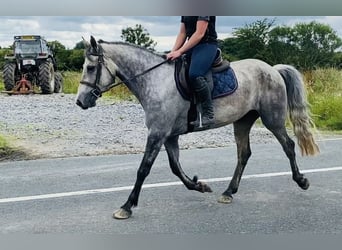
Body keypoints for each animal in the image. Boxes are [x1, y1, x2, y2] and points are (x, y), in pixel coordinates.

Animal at [76, 36, 320, 220]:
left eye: (90, 67)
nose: (80, 102)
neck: (155, 80)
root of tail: (273, 69)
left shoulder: (157, 133)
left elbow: (143, 169)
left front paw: (126, 206)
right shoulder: (169, 136)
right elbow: (175, 168)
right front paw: (199, 185)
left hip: (273, 119)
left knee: (288, 145)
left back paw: (302, 181)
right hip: (242, 121)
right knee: (244, 154)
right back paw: (228, 192)